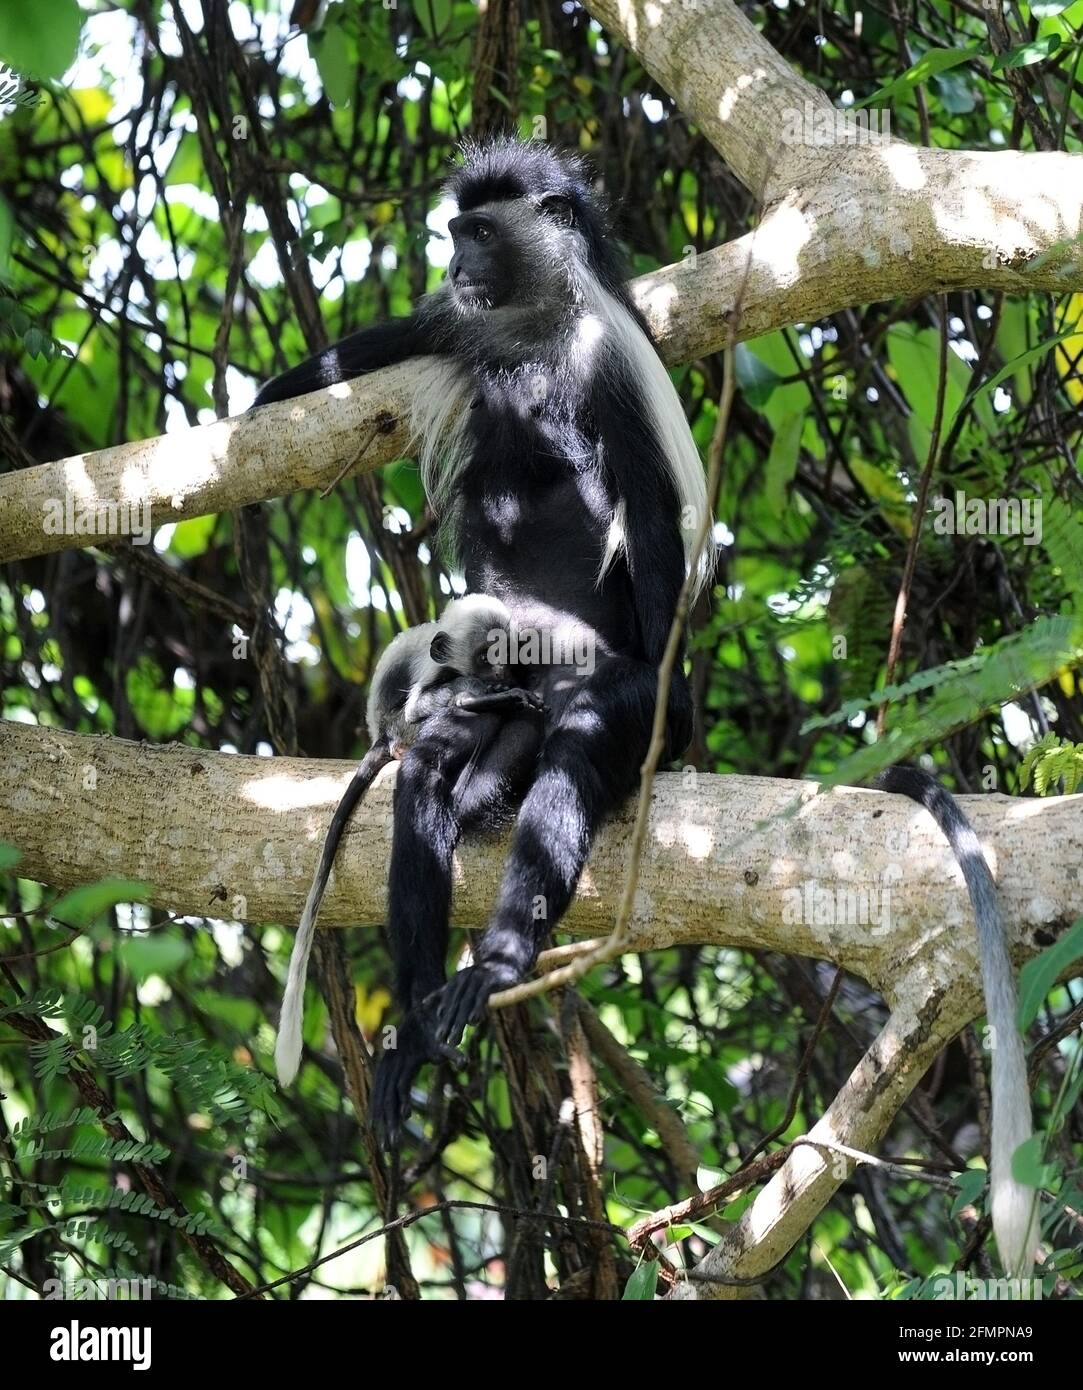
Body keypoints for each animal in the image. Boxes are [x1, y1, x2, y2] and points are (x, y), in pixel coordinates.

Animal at [271, 589, 542, 1084]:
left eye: (508, 650)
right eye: (486, 654)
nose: (501, 673)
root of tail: (381, 735)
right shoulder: (435, 676)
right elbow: (429, 701)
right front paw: (490, 697)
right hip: (404, 729)